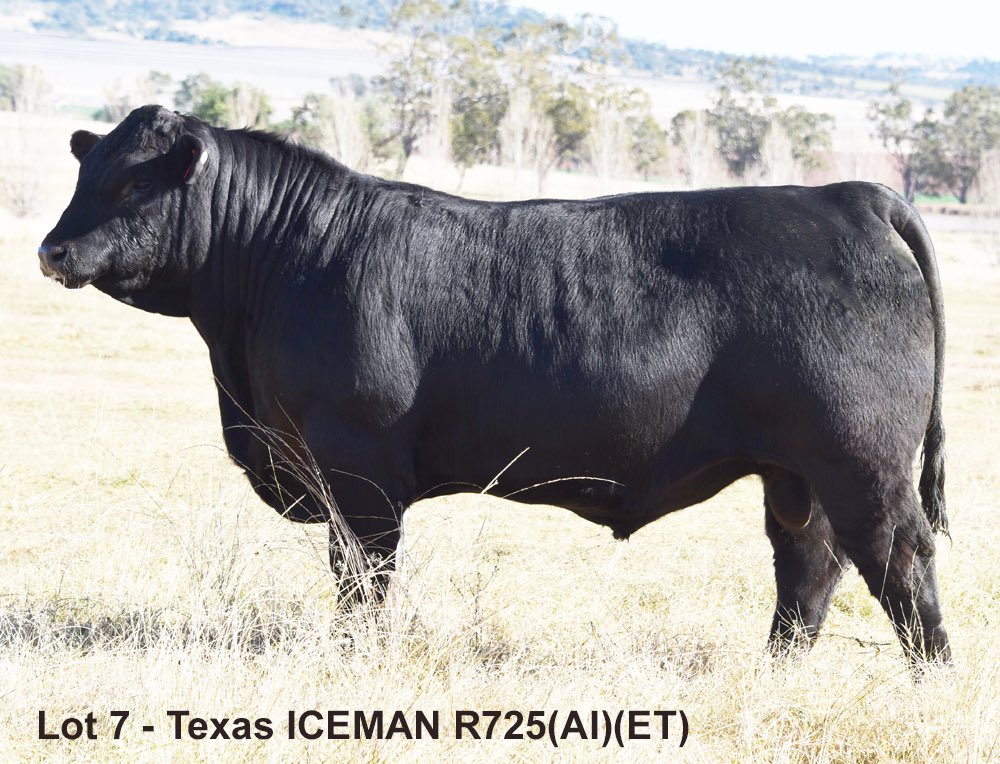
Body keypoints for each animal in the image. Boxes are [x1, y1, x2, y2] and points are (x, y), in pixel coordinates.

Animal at [39, 105, 949, 666]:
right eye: (87, 174)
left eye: (133, 182)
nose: (52, 251)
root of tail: (848, 194)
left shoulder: (358, 468)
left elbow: (362, 574)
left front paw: (359, 654)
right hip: (799, 475)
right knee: (809, 568)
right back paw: (775, 667)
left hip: (863, 464)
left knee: (899, 562)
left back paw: (932, 677)